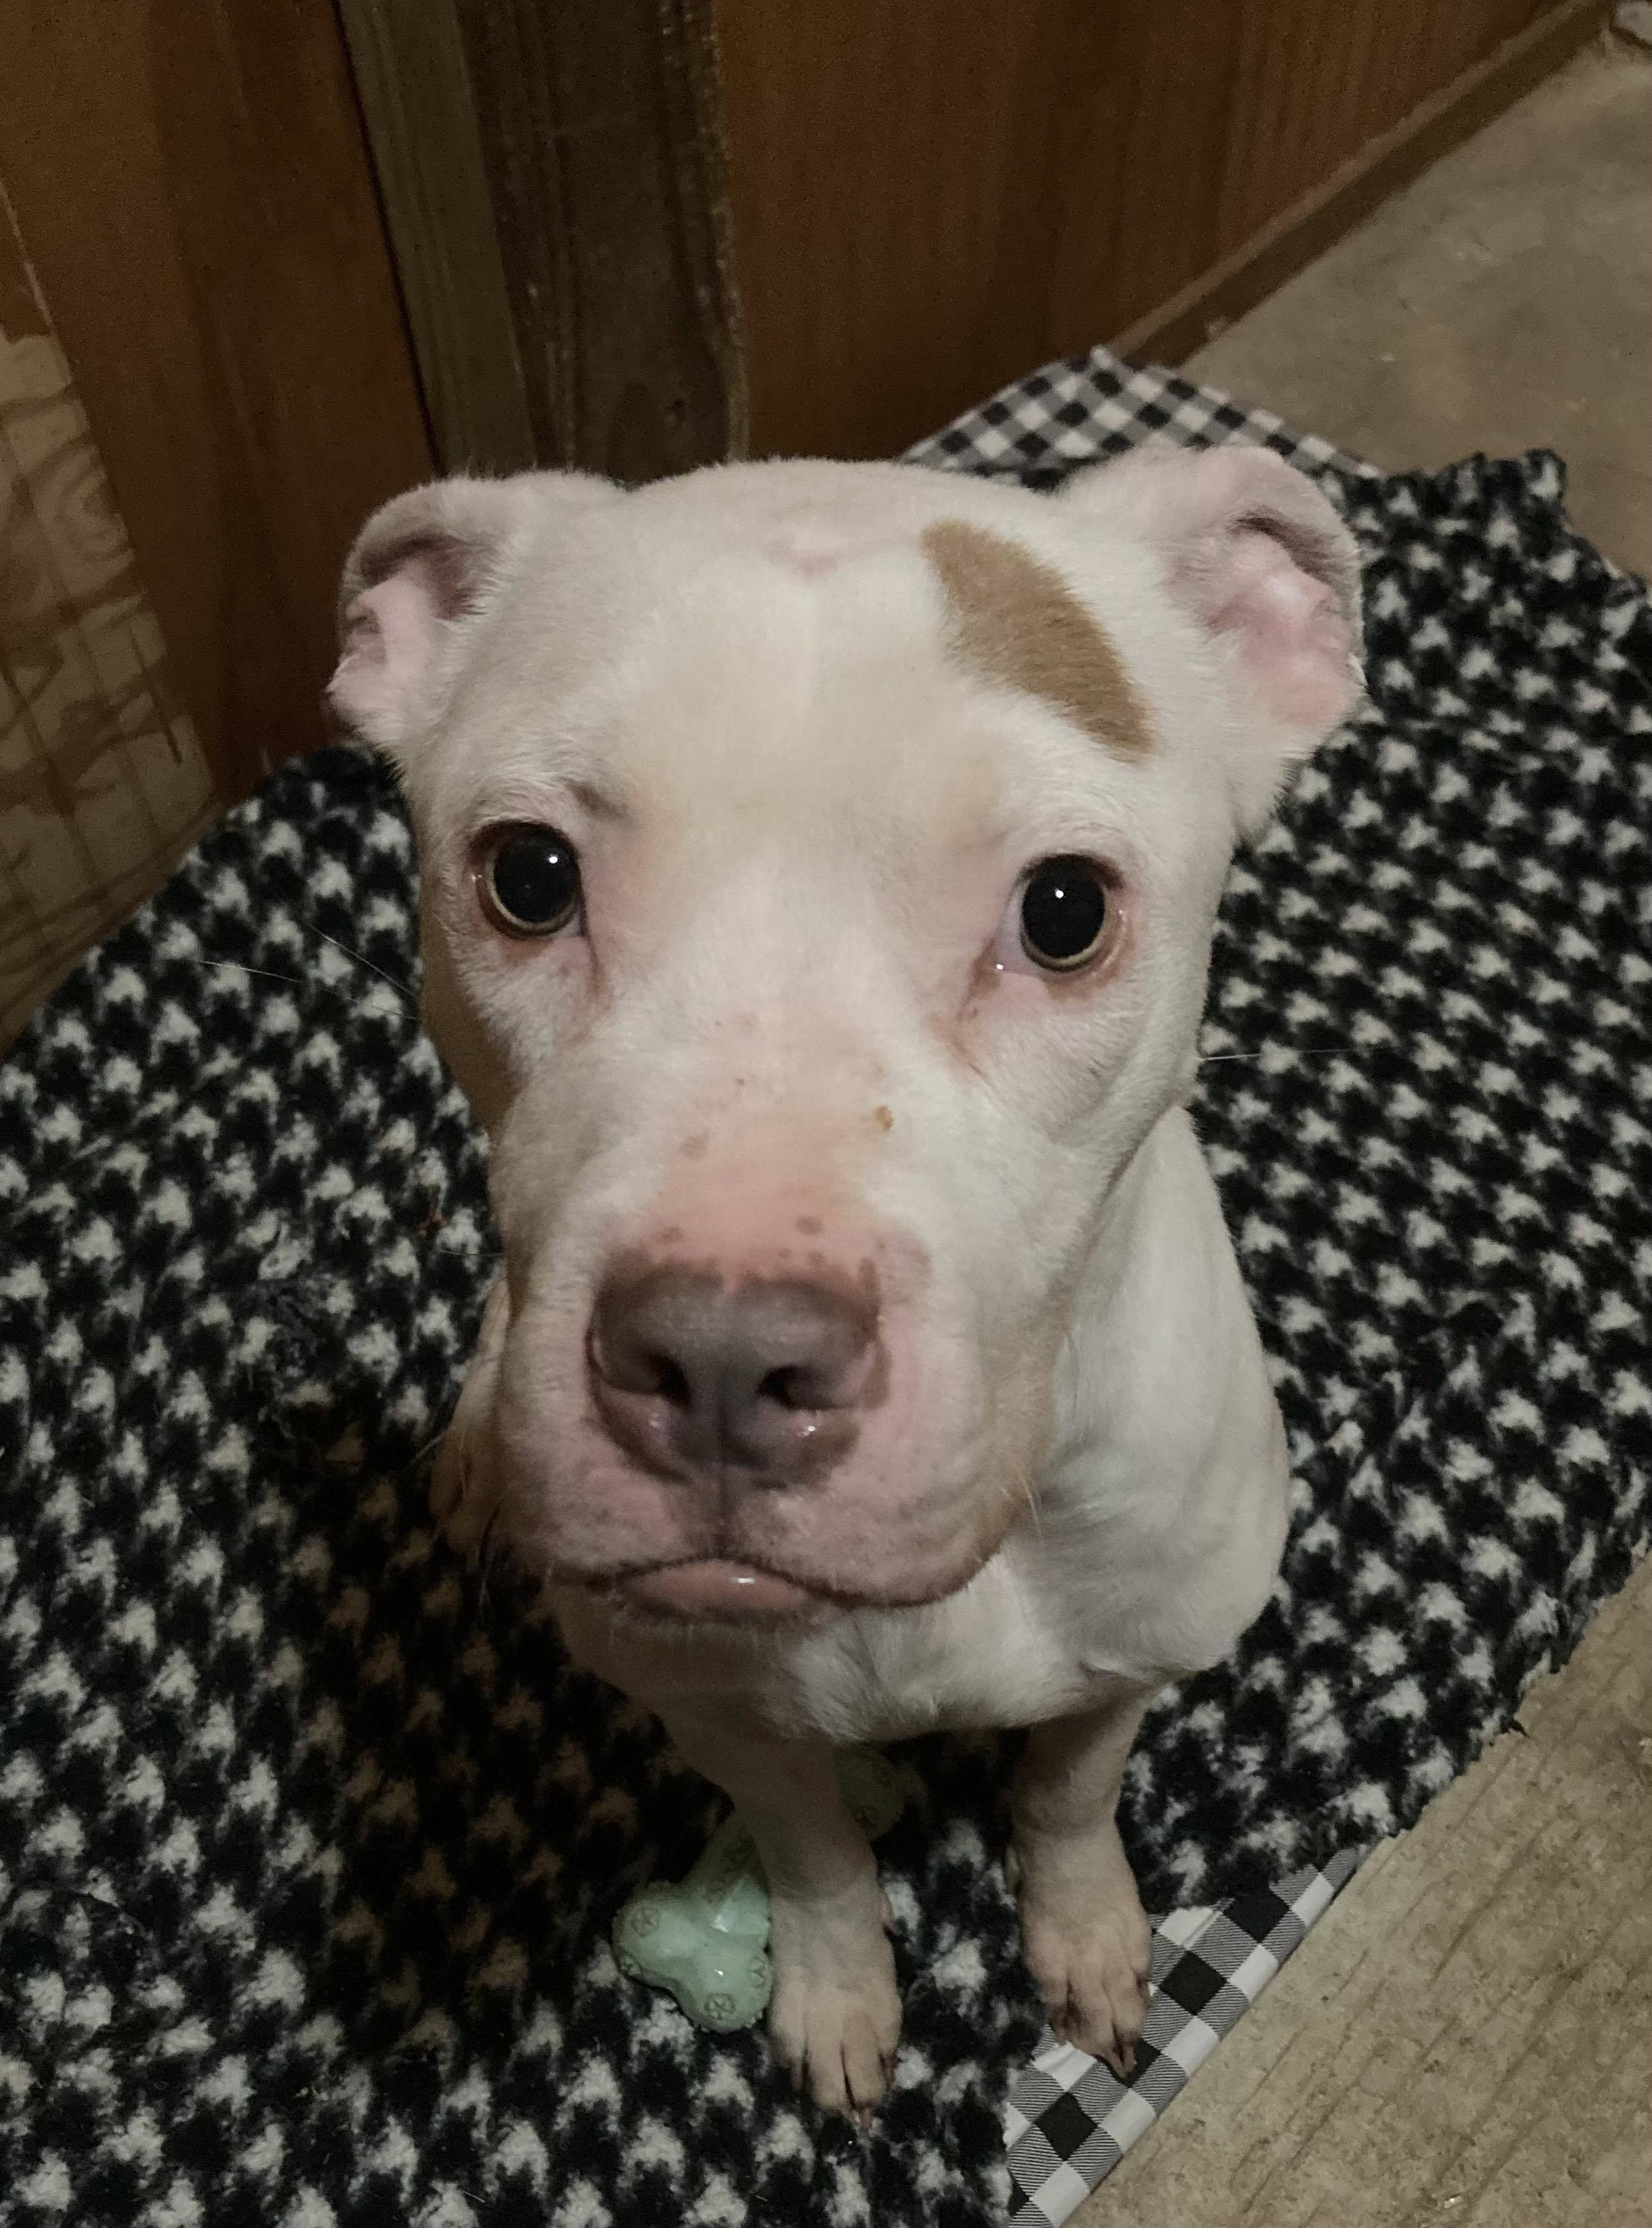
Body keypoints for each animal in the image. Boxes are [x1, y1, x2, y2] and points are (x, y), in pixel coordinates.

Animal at [327, 439, 1355, 2121]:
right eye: (528, 876)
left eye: (1064, 908)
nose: (721, 1363)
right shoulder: (712, 1707)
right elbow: (807, 1846)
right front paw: (836, 1987)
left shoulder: (1136, 1648)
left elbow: (1069, 1791)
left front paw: (1083, 1929)